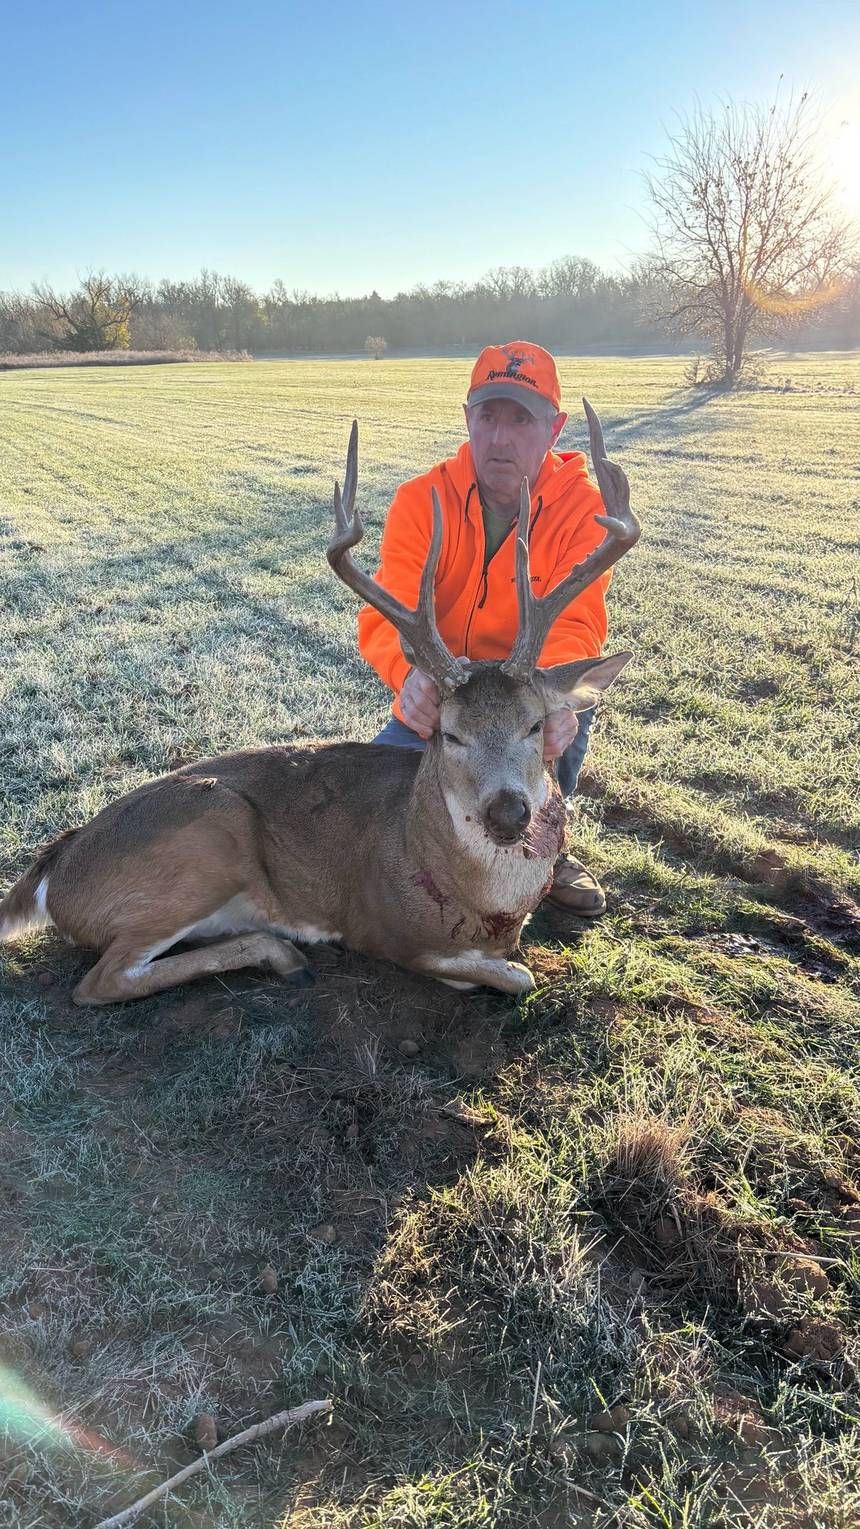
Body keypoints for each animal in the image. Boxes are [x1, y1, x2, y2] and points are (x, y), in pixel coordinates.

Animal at [0, 401, 640, 1006]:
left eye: (536, 726)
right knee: (100, 981)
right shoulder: (386, 930)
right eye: (449, 733)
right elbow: (513, 975)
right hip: (209, 833)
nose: (508, 813)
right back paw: (285, 954)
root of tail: (54, 868)